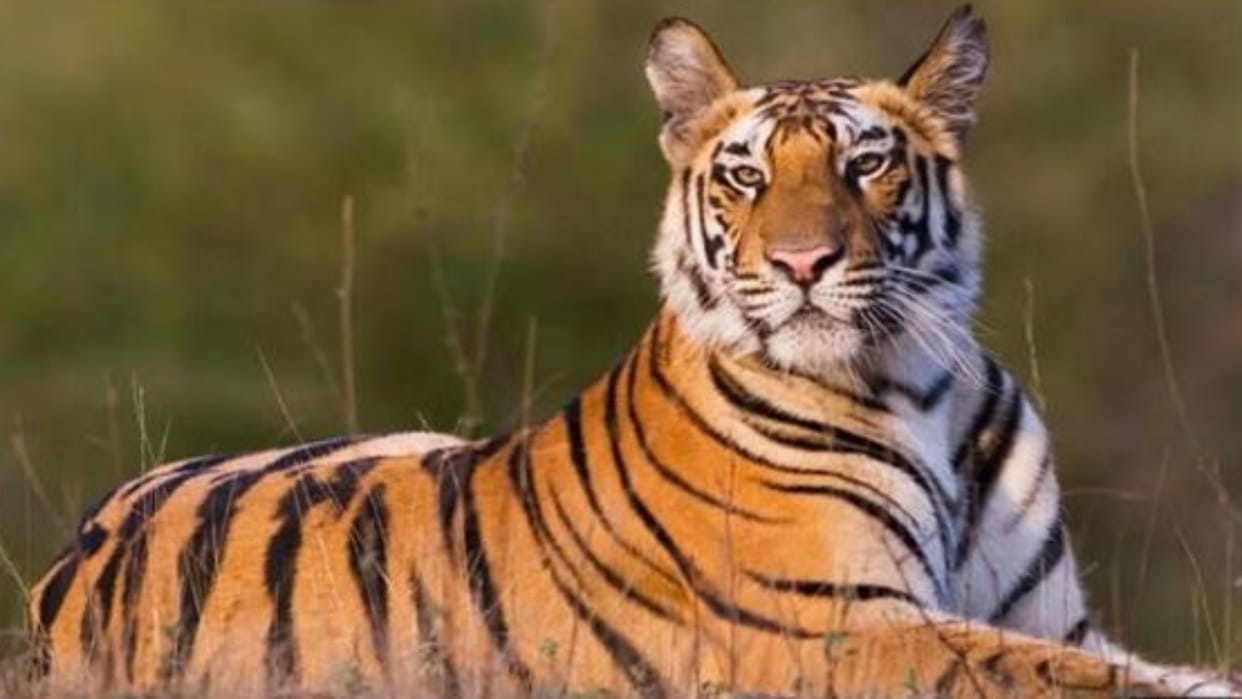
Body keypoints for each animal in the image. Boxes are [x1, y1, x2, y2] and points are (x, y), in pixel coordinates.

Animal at [27, 6, 1240, 698]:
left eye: (867, 165)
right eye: (747, 175)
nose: (803, 261)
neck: (921, 382)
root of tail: (63, 568)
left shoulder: (1048, 613)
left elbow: (1128, 665)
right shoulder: (835, 626)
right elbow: (1074, 682)